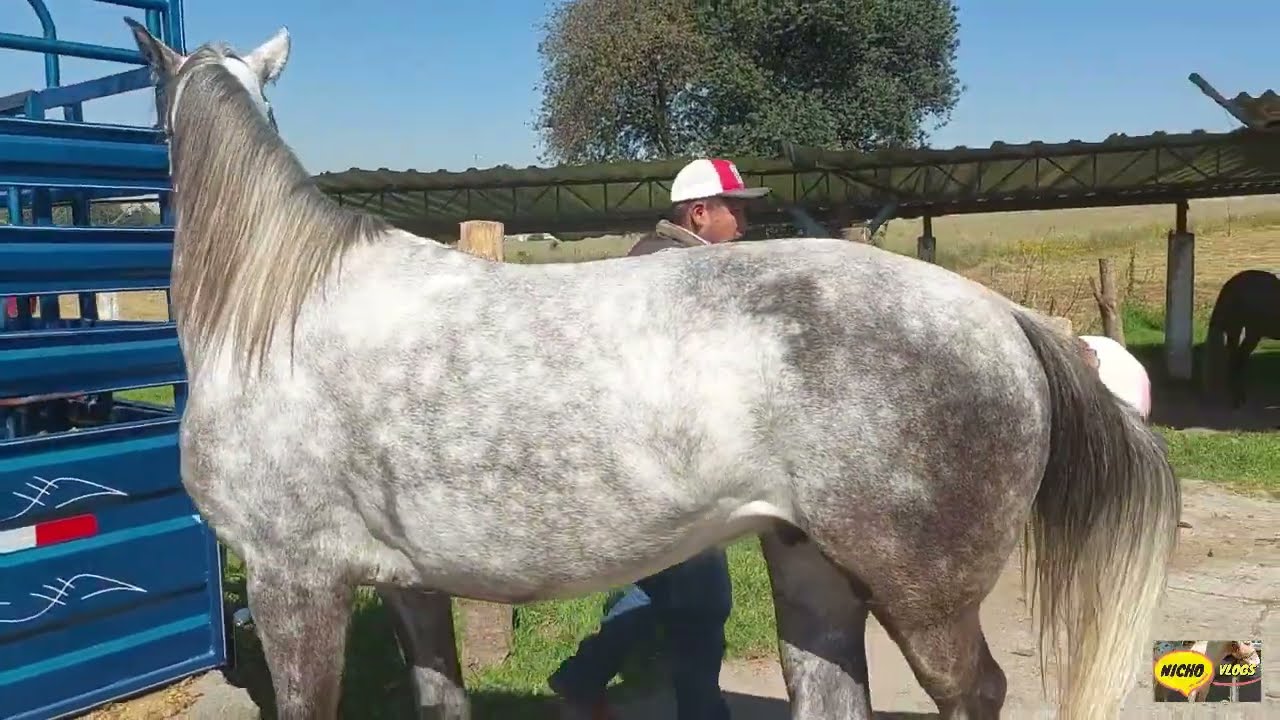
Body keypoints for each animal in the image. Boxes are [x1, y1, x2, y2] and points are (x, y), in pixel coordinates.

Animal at [124, 19, 1181, 720]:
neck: (278, 310)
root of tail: (1004, 318)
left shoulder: (293, 579)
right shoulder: (408, 583)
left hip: (925, 597)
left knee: (977, 691)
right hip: (813, 574)